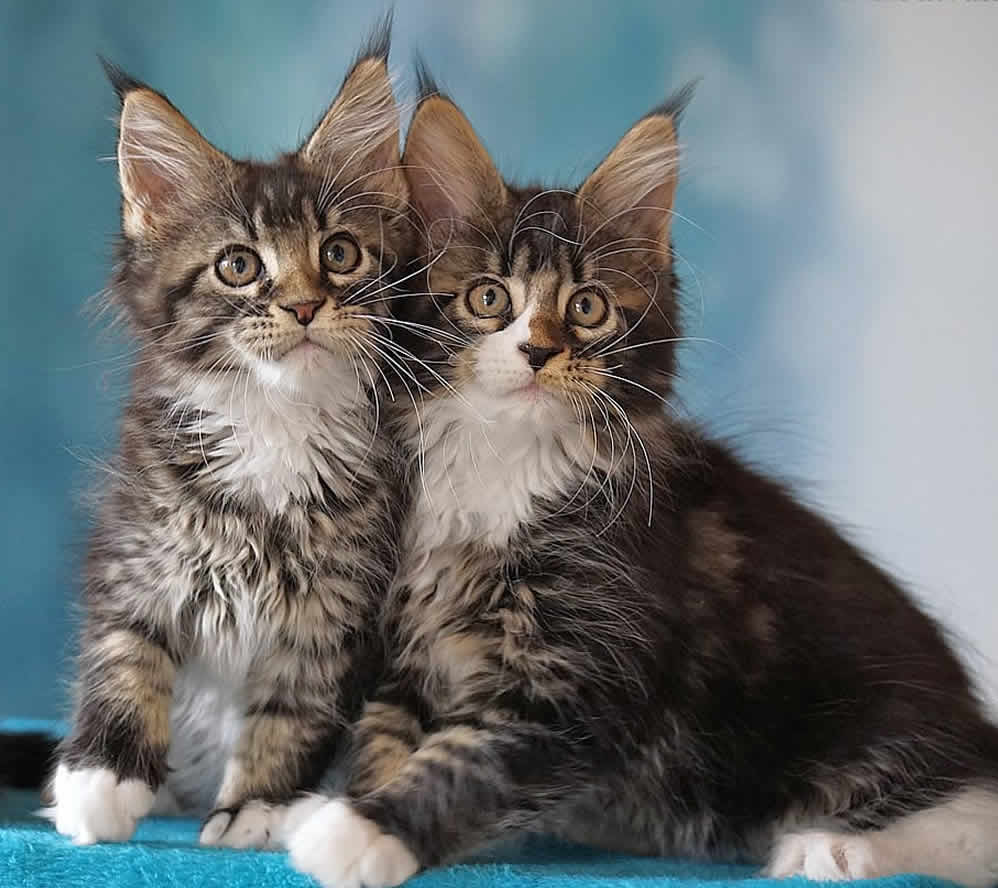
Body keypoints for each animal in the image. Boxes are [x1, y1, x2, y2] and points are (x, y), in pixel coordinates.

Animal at [45, 29, 412, 848]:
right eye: (238, 266)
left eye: (339, 254)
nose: (305, 306)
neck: (276, 418)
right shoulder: (136, 549)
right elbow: (125, 656)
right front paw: (99, 781)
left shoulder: (334, 610)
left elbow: (291, 713)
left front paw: (258, 808)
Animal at [282, 74, 998, 888]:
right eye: (489, 299)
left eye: (587, 307)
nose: (537, 352)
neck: (503, 460)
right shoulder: (413, 638)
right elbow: (390, 734)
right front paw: (342, 800)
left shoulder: (582, 681)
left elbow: (467, 761)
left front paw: (358, 831)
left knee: (969, 820)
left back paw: (834, 848)